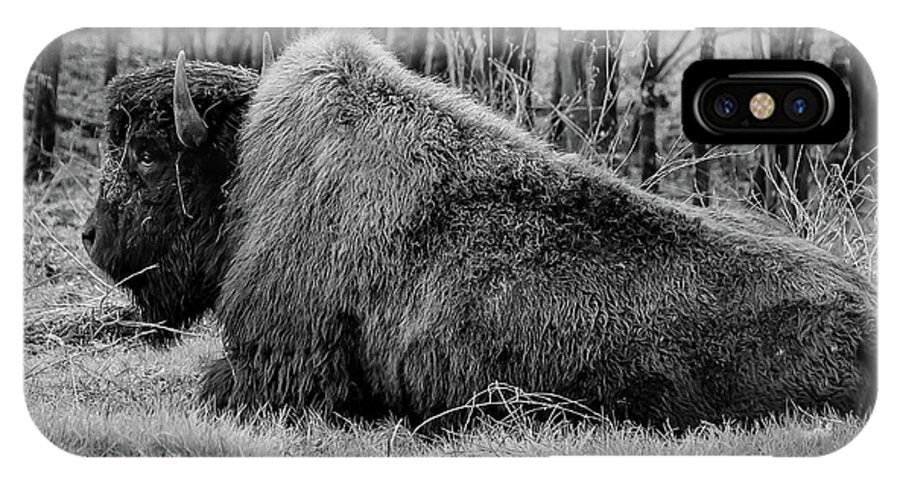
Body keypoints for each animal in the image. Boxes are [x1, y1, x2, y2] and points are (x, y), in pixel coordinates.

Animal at [83, 30, 876, 429]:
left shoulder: (281, 365)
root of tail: (862, 303)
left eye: (147, 154)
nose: (91, 238)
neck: (244, 168)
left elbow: (215, 384)